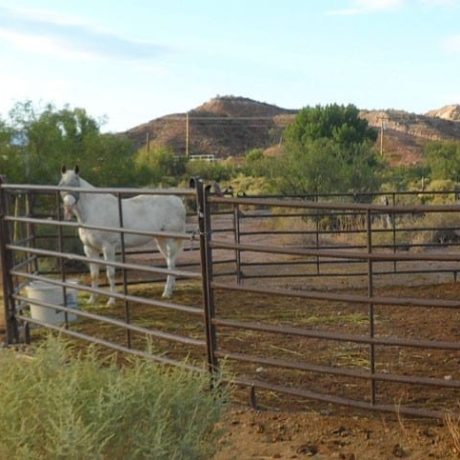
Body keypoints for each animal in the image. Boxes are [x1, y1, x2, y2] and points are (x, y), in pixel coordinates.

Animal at [58, 166, 186, 306]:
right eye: (61, 184)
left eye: (76, 184)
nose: (68, 206)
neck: (93, 211)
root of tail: (177, 200)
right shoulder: (90, 249)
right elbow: (94, 275)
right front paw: (92, 300)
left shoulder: (108, 247)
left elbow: (110, 274)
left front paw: (111, 301)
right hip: (160, 240)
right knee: (170, 262)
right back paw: (171, 289)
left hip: (169, 240)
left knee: (171, 262)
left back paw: (167, 293)